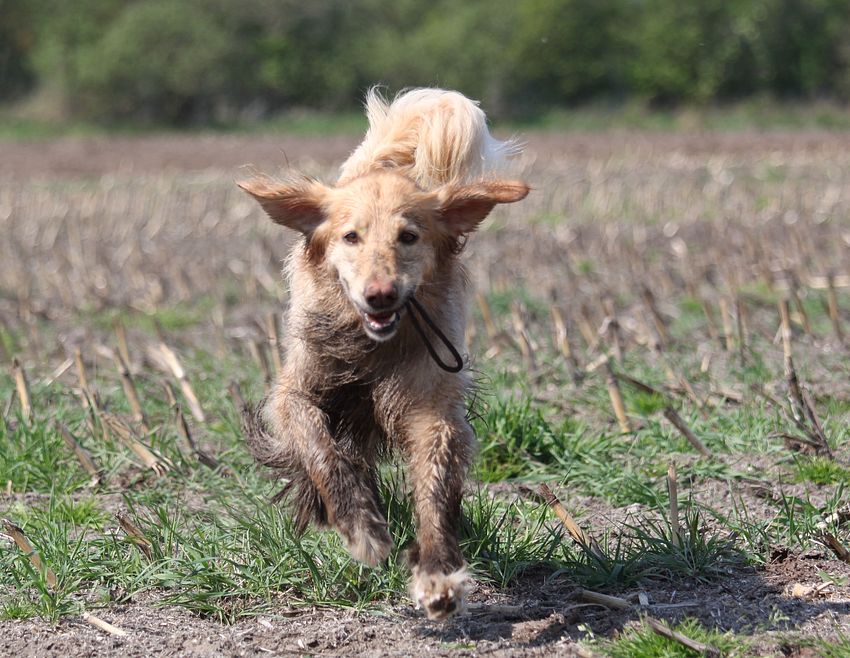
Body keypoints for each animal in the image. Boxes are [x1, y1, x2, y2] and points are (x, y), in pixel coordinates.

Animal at [239, 88, 528, 620]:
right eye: (350, 236)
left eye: (408, 236)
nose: (380, 295)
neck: (371, 349)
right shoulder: (295, 393)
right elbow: (320, 448)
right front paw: (361, 528)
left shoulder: (432, 407)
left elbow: (434, 487)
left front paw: (438, 574)